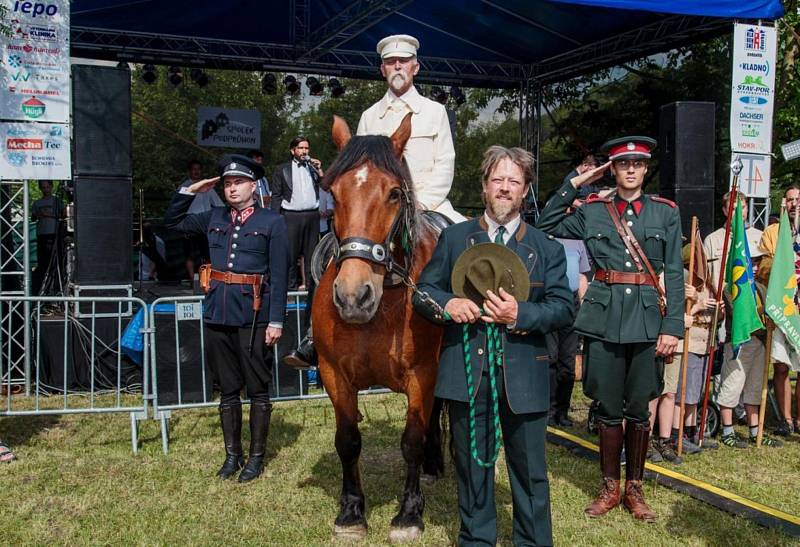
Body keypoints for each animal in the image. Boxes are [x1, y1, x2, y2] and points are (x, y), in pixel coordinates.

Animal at [312, 115, 446, 544]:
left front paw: (409, 514)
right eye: (333, 192)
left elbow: (412, 441)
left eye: (393, 194)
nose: (354, 297)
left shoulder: (423, 375)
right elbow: (348, 441)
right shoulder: (334, 375)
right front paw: (351, 511)